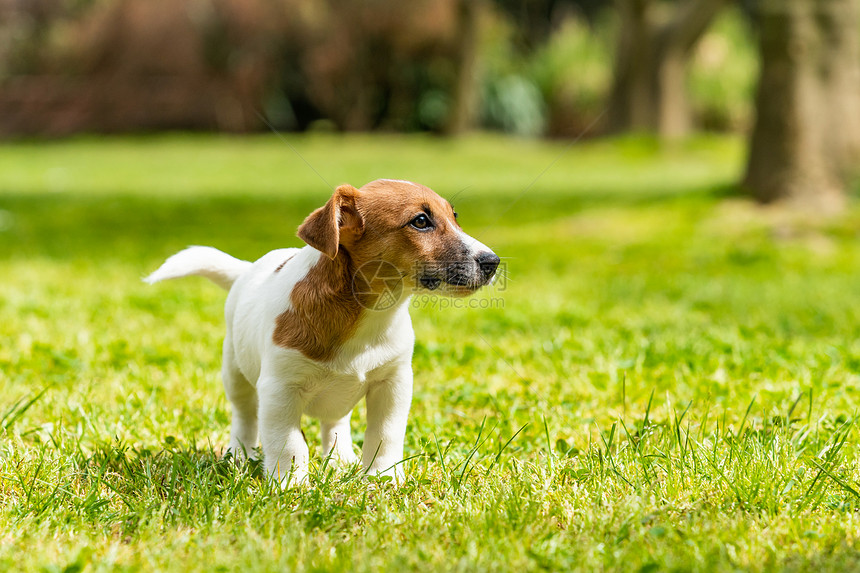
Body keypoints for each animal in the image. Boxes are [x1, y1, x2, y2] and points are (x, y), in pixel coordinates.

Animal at [144, 178, 500, 482]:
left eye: (454, 217)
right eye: (421, 221)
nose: (492, 262)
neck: (369, 316)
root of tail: (246, 269)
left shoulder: (393, 382)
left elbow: (385, 434)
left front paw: (383, 478)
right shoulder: (280, 390)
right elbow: (288, 444)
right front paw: (290, 486)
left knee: (335, 422)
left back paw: (341, 458)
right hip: (235, 372)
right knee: (244, 416)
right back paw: (240, 455)